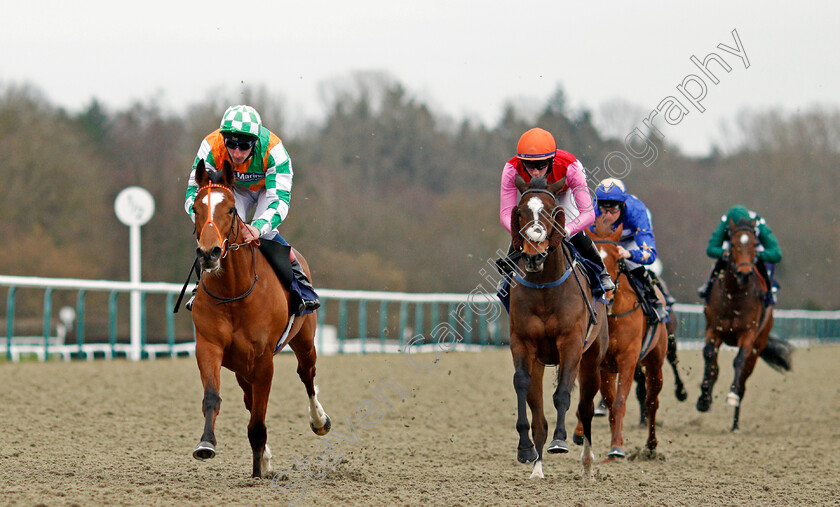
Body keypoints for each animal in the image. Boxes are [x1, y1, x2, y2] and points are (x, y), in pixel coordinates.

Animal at [190, 161, 332, 478]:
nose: (209, 253)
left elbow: (258, 421)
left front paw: (257, 473)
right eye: (195, 207)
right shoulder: (209, 346)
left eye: (231, 209)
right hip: (240, 366)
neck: (233, 291)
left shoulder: (263, 358)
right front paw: (206, 444)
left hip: (304, 341)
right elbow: (212, 398)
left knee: (307, 375)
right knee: (249, 398)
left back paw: (319, 421)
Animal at [506, 176, 604, 480]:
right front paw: (525, 448)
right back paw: (537, 467)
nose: (534, 257)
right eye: (520, 212)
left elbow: (562, 393)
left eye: (550, 212)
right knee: (538, 411)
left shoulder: (571, 343)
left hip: (591, 359)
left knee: (585, 407)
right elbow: (522, 383)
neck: (545, 289)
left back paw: (587, 464)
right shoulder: (522, 342)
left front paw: (560, 441)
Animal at [696, 216, 796, 430]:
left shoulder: (748, 334)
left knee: (744, 380)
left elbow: (739, 361)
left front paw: (731, 396)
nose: (743, 273)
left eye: (754, 244)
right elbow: (710, 358)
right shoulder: (714, 330)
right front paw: (704, 398)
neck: (735, 294)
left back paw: (735, 423)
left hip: (759, 345)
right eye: (733, 244)